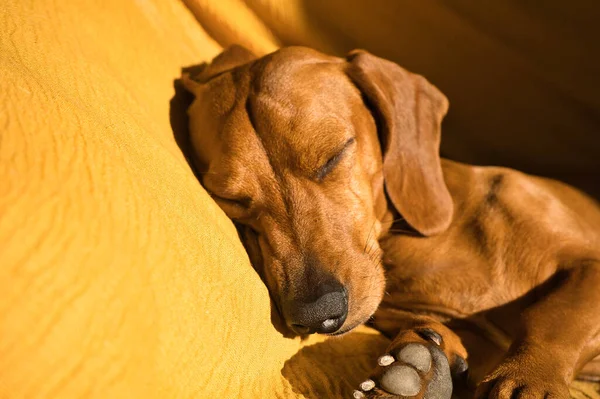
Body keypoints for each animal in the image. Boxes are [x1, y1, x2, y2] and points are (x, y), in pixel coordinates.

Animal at [182, 45, 600, 398]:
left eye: (333, 156)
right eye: (232, 199)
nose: (317, 317)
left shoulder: (588, 262)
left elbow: (553, 316)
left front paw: (530, 377)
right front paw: (420, 366)